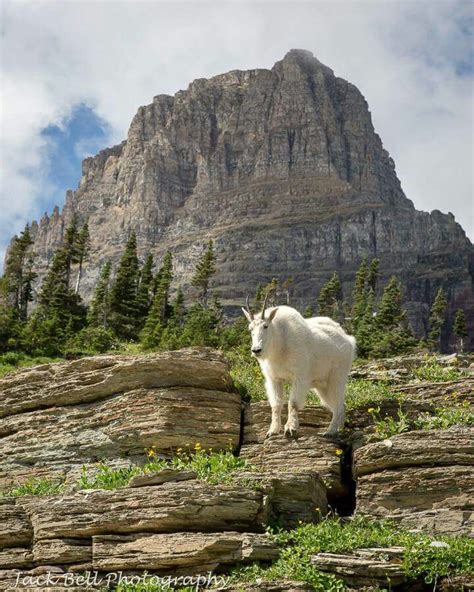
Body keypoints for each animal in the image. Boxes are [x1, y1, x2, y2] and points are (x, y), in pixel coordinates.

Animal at [243, 296, 358, 440]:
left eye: (265, 326)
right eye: (250, 329)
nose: (256, 350)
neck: (280, 346)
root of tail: (349, 340)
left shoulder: (300, 377)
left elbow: (293, 403)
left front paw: (291, 429)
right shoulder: (274, 379)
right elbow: (276, 405)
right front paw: (273, 431)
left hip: (337, 377)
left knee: (338, 405)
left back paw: (330, 431)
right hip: (322, 385)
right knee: (340, 405)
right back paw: (339, 429)